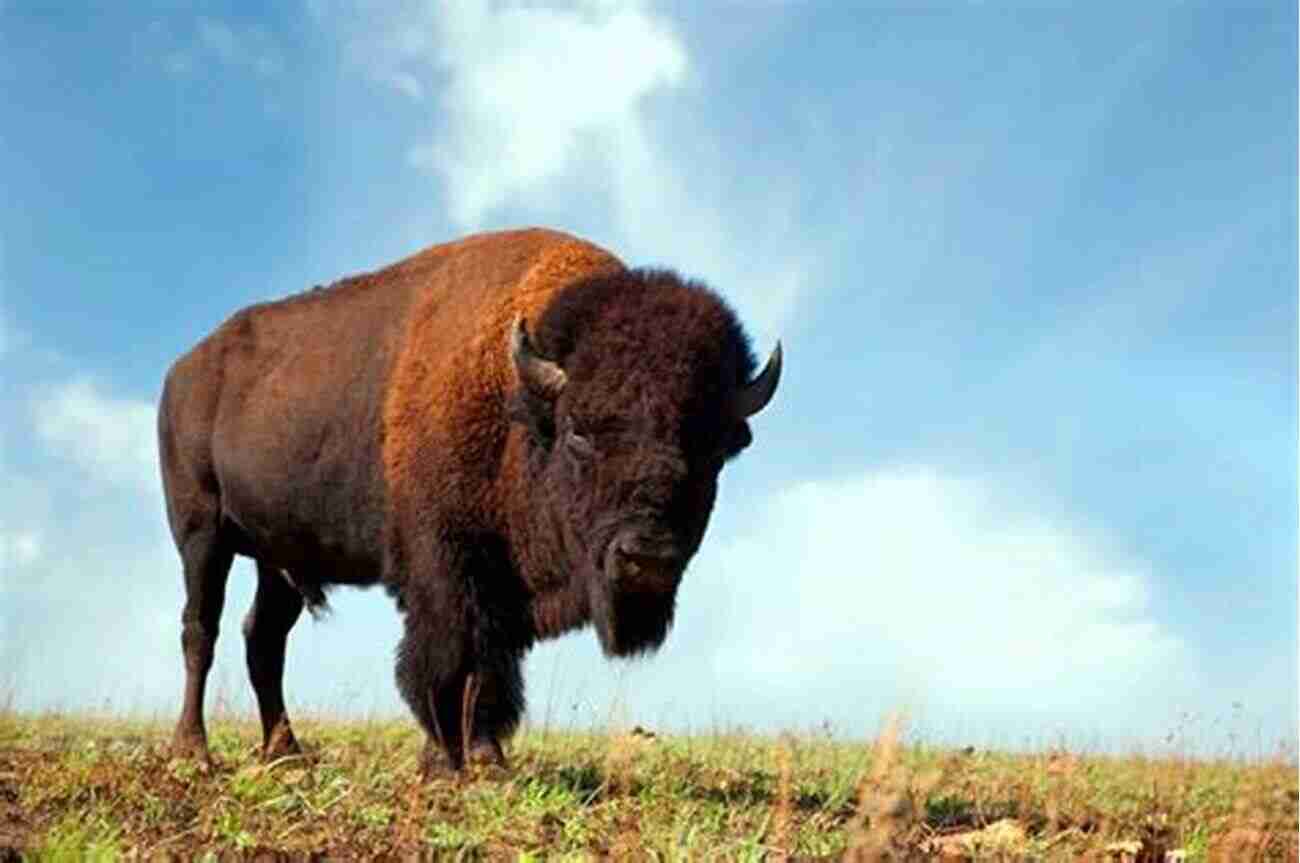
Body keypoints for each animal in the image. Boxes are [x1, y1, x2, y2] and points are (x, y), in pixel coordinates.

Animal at [157, 226, 774, 769]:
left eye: (712, 448)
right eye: (579, 430)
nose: (646, 558)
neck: (518, 403)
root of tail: (182, 370)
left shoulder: (503, 587)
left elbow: (491, 668)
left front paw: (485, 756)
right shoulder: (447, 567)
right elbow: (451, 658)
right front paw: (446, 759)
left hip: (279, 559)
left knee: (263, 638)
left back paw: (286, 751)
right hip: (202, 534)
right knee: (200, 629)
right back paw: (193, 751)